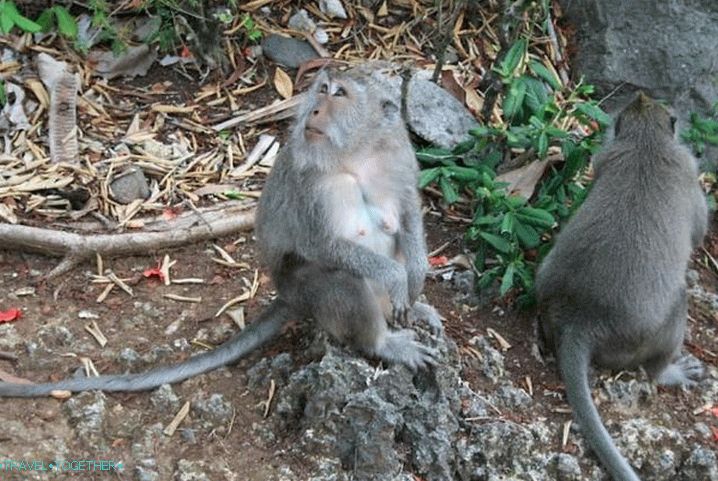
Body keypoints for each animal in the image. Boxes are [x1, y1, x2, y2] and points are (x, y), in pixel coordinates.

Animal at [0, 68, 442, 398]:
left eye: (339, 93)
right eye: (322, 89)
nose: (315, 109)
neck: (356, 155)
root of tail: (287, 296)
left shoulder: (399, 158)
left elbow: (408, 215)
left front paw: (415, 277)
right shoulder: (312, 183)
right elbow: (324, 246)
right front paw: (395, 278)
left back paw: (411, 308)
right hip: (306, 291)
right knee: (340, 280)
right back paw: (383, 342)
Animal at [536, 93, 712, 480]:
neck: (646, 142)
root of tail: (582, 319)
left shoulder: (603, 159)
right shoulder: (688, 167)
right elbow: (699, 230)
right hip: (646, 335)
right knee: (675, 311)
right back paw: (670, 373)